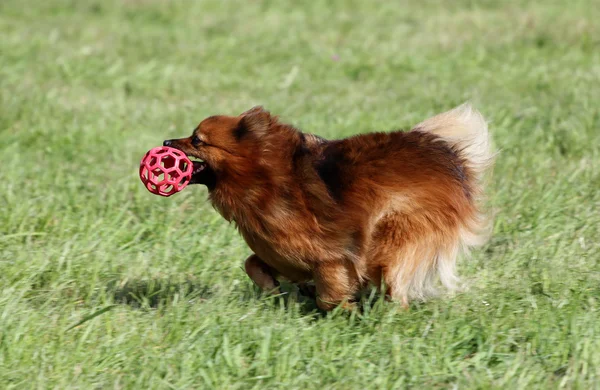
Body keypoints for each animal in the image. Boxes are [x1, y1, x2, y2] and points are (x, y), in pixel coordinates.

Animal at [164, 104, 492, 310]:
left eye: (197, 140)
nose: (167, 141)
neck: (262, 179)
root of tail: (448, 155)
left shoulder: (331, 257)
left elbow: (330, 293)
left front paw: (344, 307)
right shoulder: (279, 252)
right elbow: (251, 263)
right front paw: (274, 287)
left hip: (394, 234)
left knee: (394, 284)